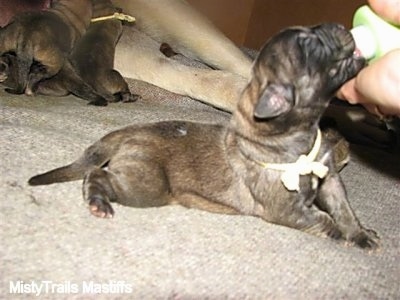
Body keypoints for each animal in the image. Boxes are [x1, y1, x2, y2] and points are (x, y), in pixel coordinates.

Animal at [28, 23, 378, 250]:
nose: (346, 29)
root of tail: (127, 132)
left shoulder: (332, 185)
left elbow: (343, 211)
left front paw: (360, 234)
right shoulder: (285, 206)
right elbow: (322, 219)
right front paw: (340, 235)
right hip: (147, 183)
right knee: (97, 175)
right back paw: (99, 202)